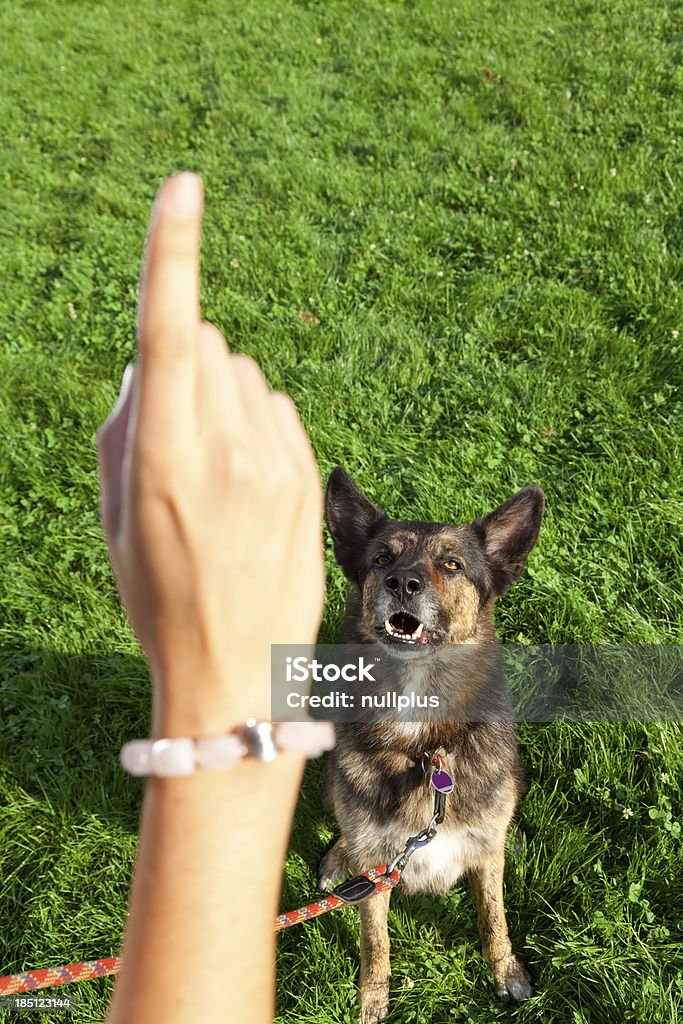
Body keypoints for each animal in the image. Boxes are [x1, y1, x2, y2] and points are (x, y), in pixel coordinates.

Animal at [317, 468, 544, 1019]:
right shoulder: (378, 869)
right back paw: (337, 859)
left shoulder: (485, 854)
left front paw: (506, 971)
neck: (422, 745)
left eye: (452, 564)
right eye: (382, 559)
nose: (402, 583)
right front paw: (372, 999)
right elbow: (374, 940)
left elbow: (493, 915)